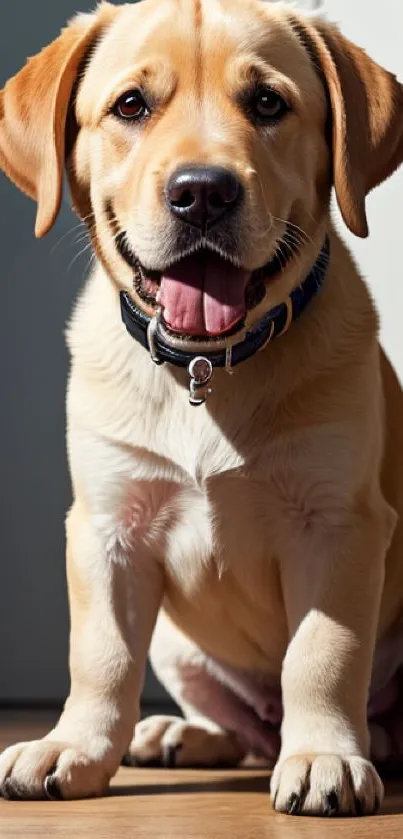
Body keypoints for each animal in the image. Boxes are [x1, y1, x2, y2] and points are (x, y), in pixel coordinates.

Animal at [0, 0, 403, 816]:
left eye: (268, 104)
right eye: (131, 106)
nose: (203, 191)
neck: (204, 367)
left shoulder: (341, 522)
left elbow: (322, 652)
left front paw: (323, 755)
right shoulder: (106, 525)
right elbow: (99, 655)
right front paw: (75, 747)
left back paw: (361, 740)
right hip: (177, 644)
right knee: (243, 728)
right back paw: (177, 733)